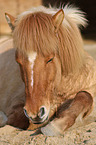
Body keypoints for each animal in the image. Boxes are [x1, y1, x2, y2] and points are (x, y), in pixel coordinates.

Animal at [0, 4, 96, 136]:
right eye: (18, 62)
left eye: (50, 59)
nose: (34, 113)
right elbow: (19, 119)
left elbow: (85, 96)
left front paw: (57, 125)